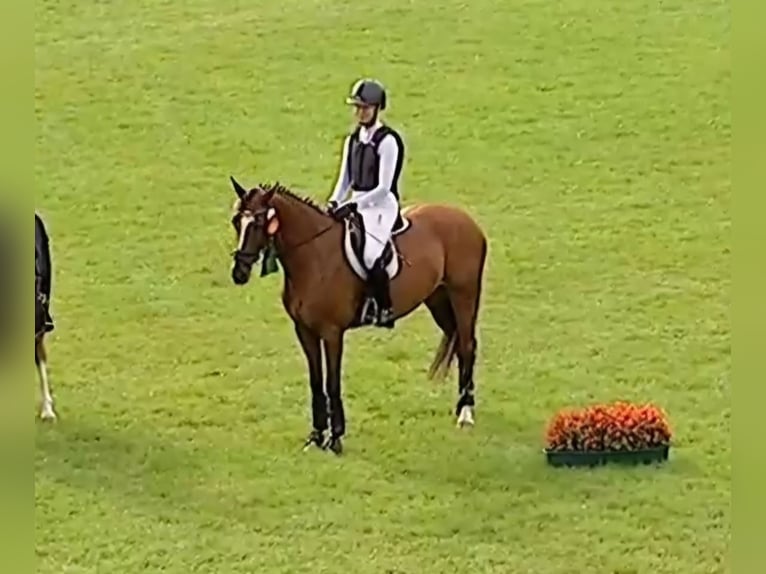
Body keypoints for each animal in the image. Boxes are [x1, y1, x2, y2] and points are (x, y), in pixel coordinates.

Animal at [230, 178, 492, 456]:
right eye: (236, 221)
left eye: (258, 222)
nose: (239, 273)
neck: (315, 257)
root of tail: (466, 219)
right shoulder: (304, 331)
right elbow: (316, 382)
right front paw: (315, 437)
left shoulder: (332, 333)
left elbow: (332, 383)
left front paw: (335, 440)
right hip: (438, 299)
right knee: (457, 340)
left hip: (464, 295)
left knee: (467, 347)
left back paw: (465, 414)